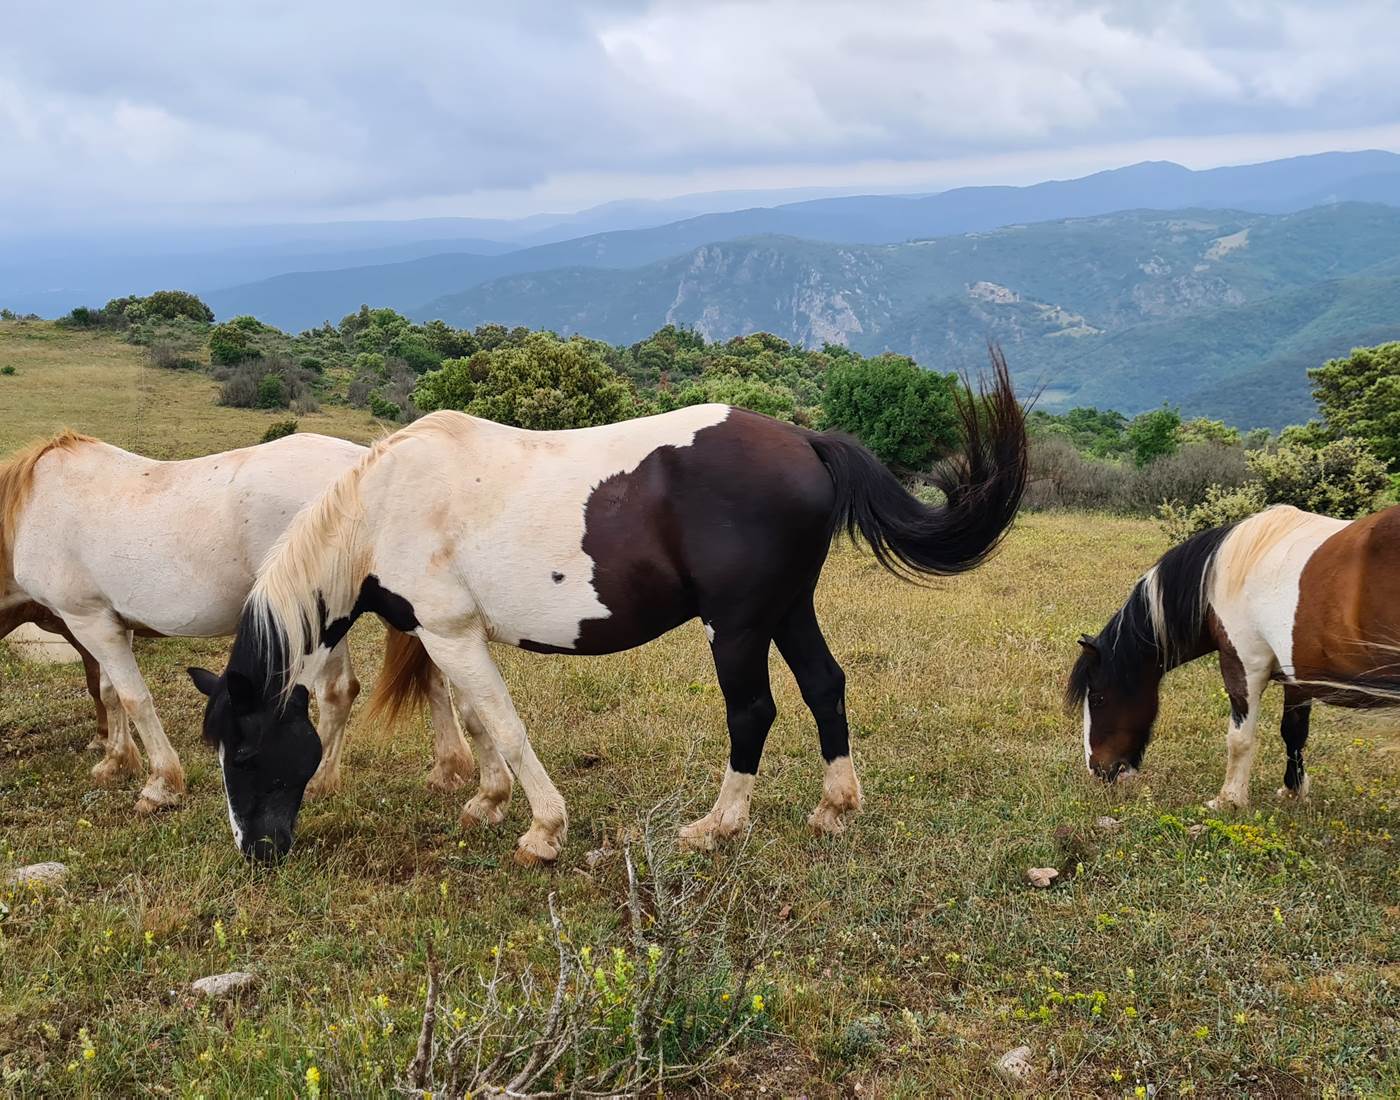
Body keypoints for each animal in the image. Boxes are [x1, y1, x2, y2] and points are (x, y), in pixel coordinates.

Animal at [0, 430, 476, 812]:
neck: (32, 507)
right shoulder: (107, 623)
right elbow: (109, 692)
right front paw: (116, 761)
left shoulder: (89, 622)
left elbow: (134, 699)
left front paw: (161, 785)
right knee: (433, 680)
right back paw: (449, 769)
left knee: (338, 692)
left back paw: (318, 782)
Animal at [189, 353, 1028, 864]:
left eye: (247, 752)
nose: (257, 852)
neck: (384, 507)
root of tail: (805, 440)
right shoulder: (442, 632)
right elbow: (476, 721)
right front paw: (488, 802)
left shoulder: (451, 632)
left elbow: (504, 724)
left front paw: (542, 829)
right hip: (790, 609)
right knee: (826, 687)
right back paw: (834, 808)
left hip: (739, 625)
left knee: (752, 711)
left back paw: (717, 826)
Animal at [1070, 503, 1400, 808]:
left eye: (1098, 699)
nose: (1097, 770)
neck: (1219, 576)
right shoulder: (1296, 672)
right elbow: (1293, 732)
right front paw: (1293, 790)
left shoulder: (1243, 664)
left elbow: (1240, 739)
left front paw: (1229, 799)